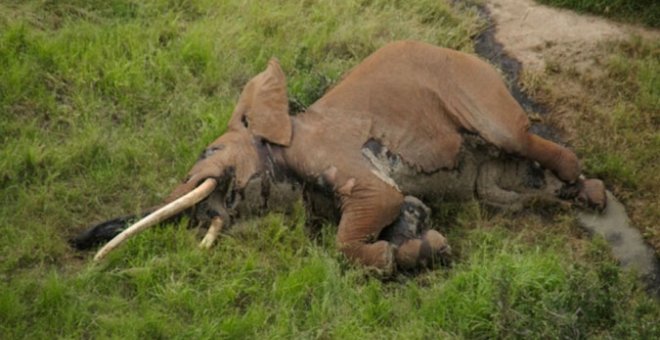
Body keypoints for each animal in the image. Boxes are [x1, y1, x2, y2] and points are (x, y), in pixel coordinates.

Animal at [71, 41, 604, 274]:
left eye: (210, 152)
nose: (77, 243)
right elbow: (406, 207)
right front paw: (423, 247)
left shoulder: (328, 152)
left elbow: (376, 204)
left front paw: (393, 258)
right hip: (488, 179)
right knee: (501, 191)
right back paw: (572, 197)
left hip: (475, 87)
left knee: (515, 136)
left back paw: (586, 191)